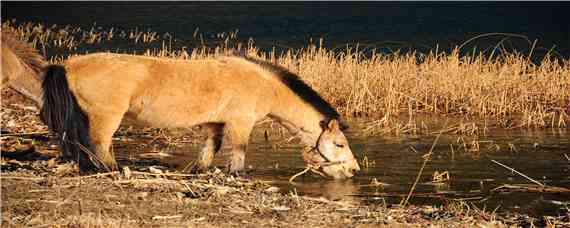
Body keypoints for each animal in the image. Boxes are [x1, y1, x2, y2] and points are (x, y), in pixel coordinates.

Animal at [2, 31, 360, 180]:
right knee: (100, 144)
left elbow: (210, 148)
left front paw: (200, 171)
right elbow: (239, 151)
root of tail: (67, 65)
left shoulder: (216, 123)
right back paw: (111, 170)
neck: (261, 83)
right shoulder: (241, 122)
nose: (354, 171)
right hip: (106, 118)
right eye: (339, 144)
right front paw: (238, 175)